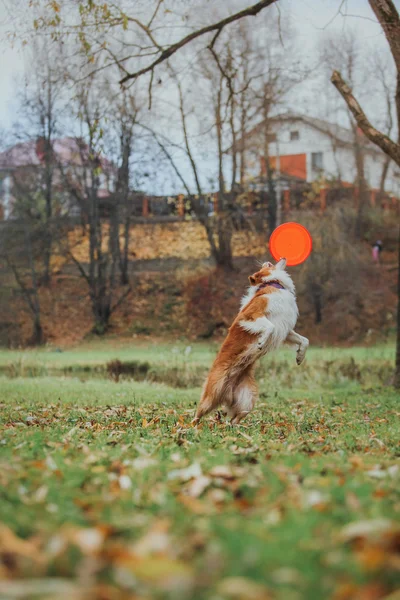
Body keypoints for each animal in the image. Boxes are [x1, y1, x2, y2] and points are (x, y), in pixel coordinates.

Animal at [194, 260, 310, 424]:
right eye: (267, 266)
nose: (267, 261)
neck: (274, 285)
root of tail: (228, 391)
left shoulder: (285, 329)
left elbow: (304, 340)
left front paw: (300, 356)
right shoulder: (250, 315)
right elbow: (269, 326)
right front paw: (261, 342)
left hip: (247, 401)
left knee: (234, 420)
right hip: (211, 395)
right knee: (197, 414)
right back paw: (189, 427)